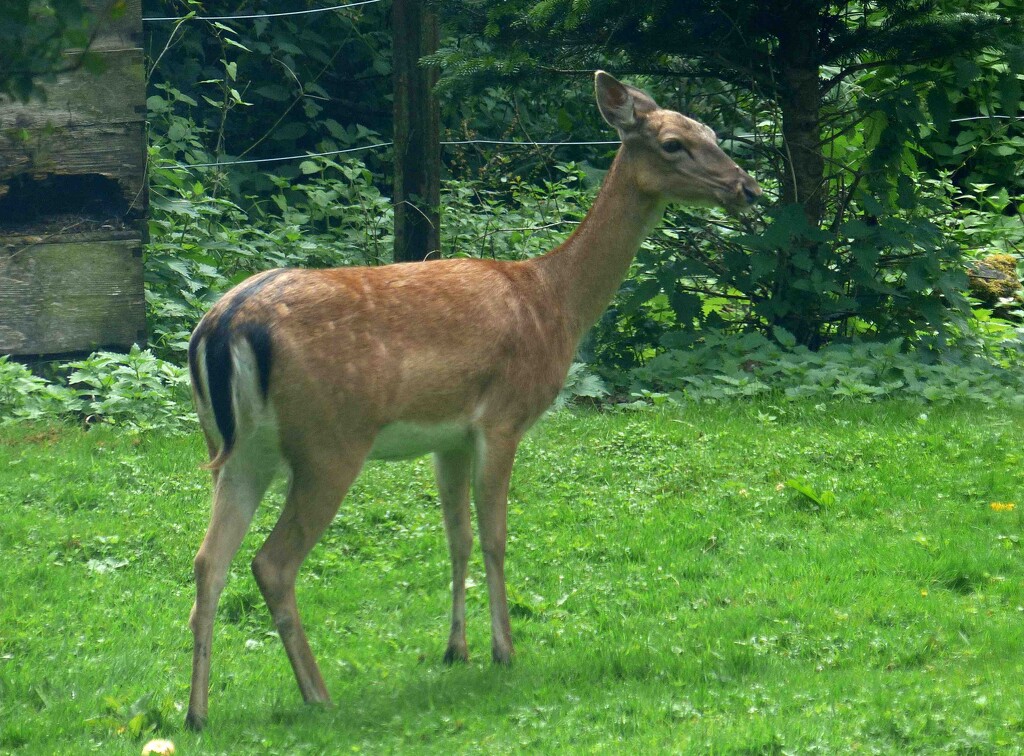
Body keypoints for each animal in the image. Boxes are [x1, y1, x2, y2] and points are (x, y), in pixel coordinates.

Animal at [184, 72, 761, 729]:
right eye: (672, 144)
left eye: (710, 131)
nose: (747, 188)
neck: (554, 302)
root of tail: (223, 325)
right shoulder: (504, 417)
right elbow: (495, 537)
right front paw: (504, 650)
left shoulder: (449, 436)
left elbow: (456, 536)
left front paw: (455, 649)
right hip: (329, 442)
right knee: (271, 563)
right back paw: (317, 694)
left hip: (237, 453)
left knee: (208, 561)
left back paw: (197, 713)